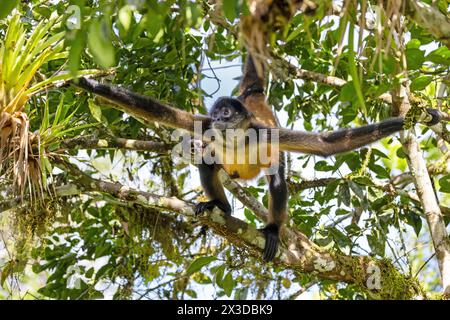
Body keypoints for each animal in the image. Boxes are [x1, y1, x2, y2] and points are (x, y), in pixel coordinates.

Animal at [195, 53, 442, 262]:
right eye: (214, 115)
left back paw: (272, 230)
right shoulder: (208, 129)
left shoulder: (265, 133)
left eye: (225, 113)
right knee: (207, 164)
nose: (217, 119)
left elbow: (325, 145)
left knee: (276, 180)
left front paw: (416, 118)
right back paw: (221, 206)